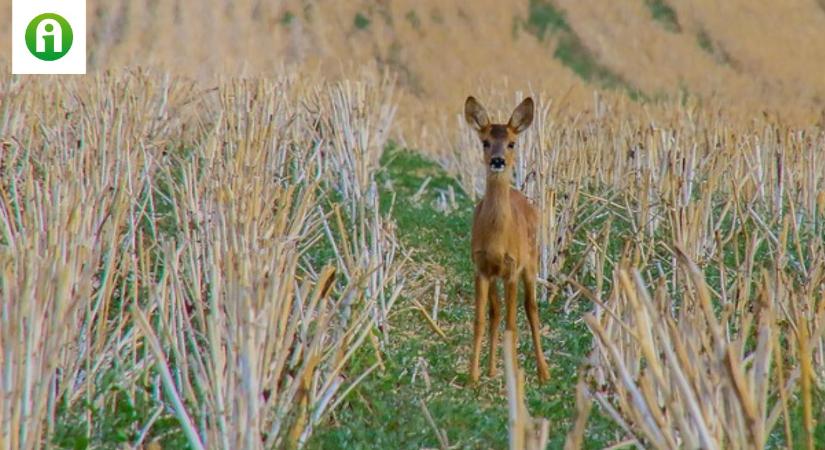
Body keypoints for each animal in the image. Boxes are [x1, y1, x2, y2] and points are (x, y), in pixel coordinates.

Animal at [464, 96, 548, 384]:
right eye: (485, 142)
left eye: (512, 143)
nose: (498, 160)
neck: (498, 239)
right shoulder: (481, 268)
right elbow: (480, 320)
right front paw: (473, 375)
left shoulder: (512, 268)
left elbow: (513, 323)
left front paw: (512, 375)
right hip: (496, 276)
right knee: (496, 312)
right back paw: (490, 369)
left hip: (531, 262)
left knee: (531, 309)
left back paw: (544, 372)